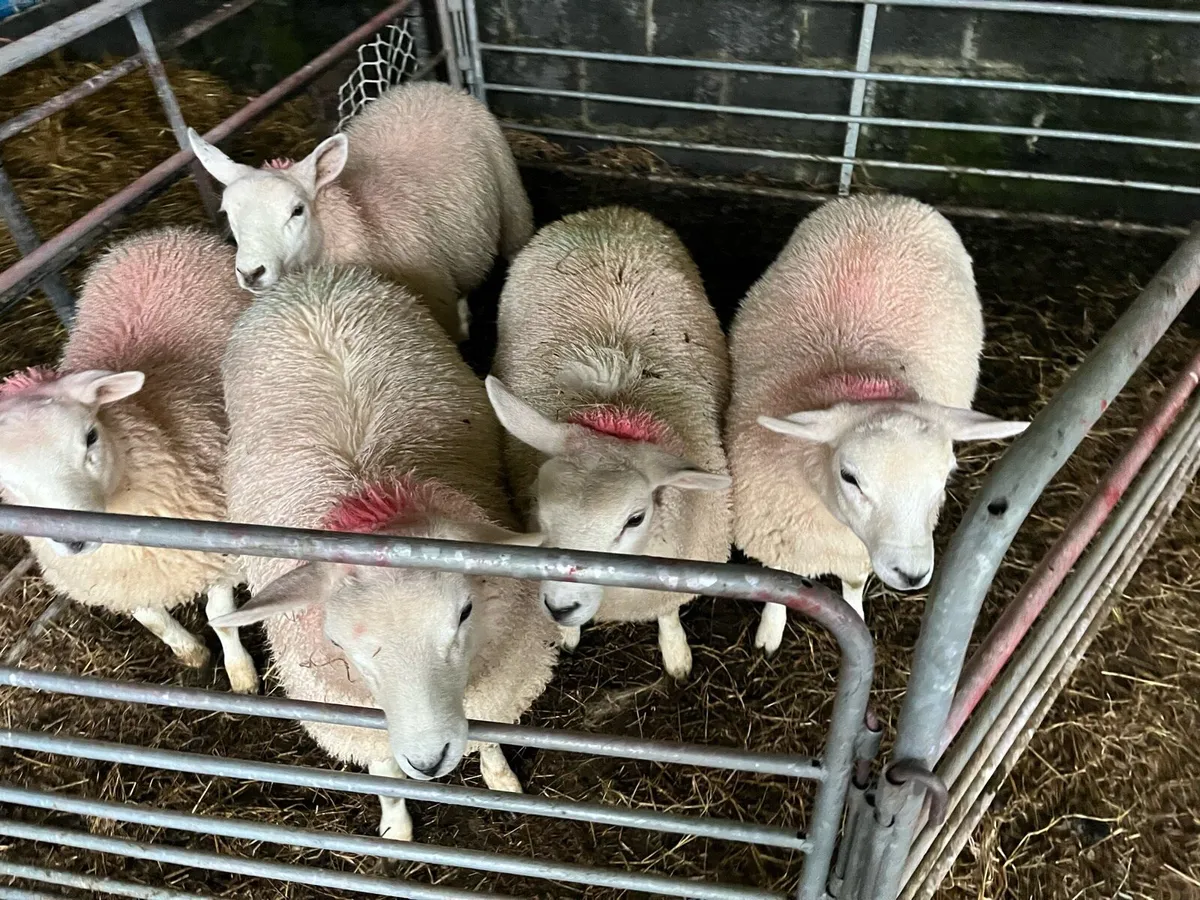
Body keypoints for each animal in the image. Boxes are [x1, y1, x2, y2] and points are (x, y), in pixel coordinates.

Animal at [0, 227, 258, 692]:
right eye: (5, 479)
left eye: (90, 436)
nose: (73, 539)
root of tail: (158, 236)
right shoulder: (118, 583)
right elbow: (151, 618)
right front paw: (191, 654)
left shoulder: (221, 553)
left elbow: (221, 617)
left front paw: (241, 675)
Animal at [187, 81, 533, 340]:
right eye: (227, 214)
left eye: (297, 210)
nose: (251, 273)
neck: (361, 218)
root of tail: (426, 85)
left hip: (512, 199)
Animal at [210, 265, 557, 841]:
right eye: (336, 641)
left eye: (464, 612)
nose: (429, 760)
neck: (372, 501)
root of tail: (314, 280)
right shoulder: (352, 717)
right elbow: (384, 774)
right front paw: (396, 827)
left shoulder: (501, 681)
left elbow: (489, 737)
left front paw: (500, 779)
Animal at [485, 206, 732, 680]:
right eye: (541, 510)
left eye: (634, 520)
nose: (561, 607)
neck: (616, 415)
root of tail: (608, 214)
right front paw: (566, 634)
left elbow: (668, 614)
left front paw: (676, 655)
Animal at [726, 194, 1029, 655]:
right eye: (850, 477)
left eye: (945, 478)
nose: (912, 574)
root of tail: (888, 199)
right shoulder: (777, 538)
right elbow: (779, 587)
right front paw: (769, 635)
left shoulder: (855, 554)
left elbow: (852, 588)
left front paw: (855, 620)